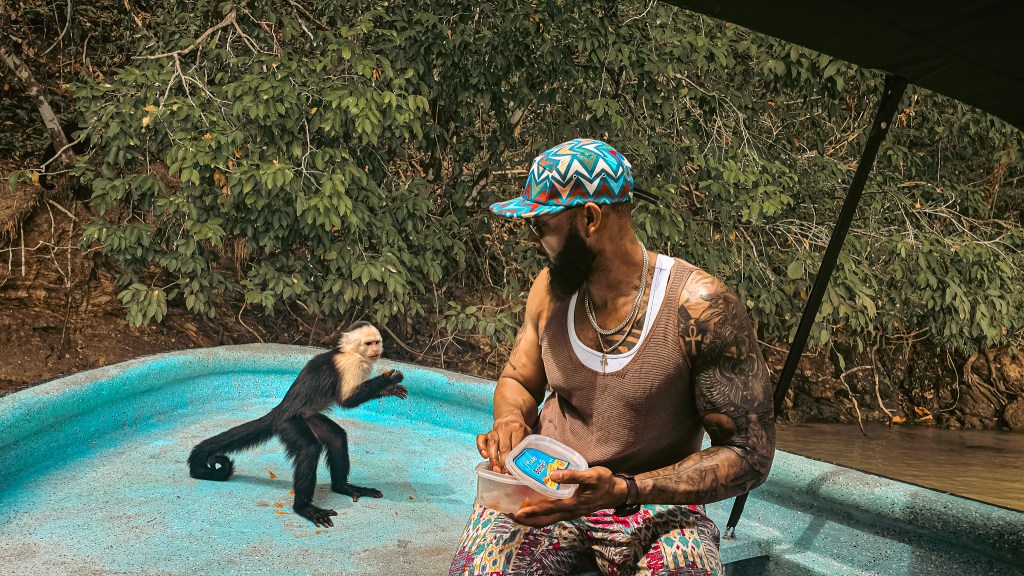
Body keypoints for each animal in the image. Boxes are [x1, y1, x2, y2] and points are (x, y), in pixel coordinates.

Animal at [187, 321, 408, 527]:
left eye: (377, 342)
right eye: (368, 343)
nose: (376, 350)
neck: (353, 353)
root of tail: (279, 410)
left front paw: (389, 389)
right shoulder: (350, 365)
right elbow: (347, 401)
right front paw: (388, 379)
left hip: (309, 417)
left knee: (336, 438)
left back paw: (342, 487)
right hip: (288, 424)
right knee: (309, 448)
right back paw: (303, 507)